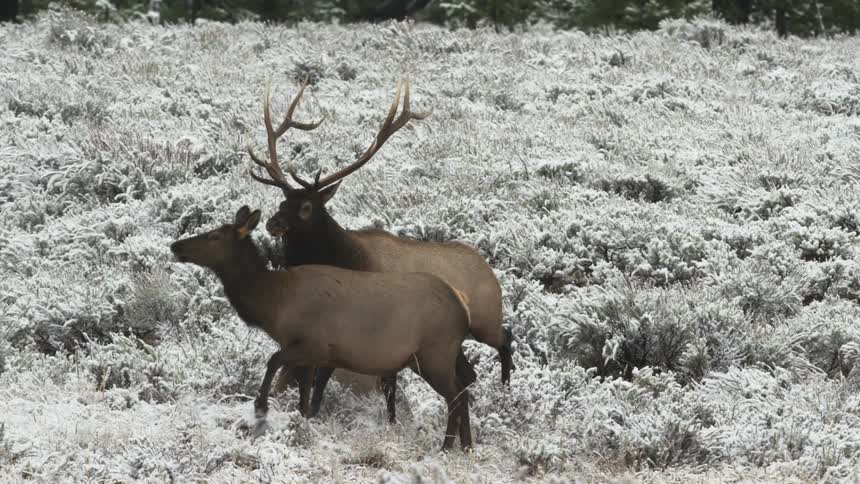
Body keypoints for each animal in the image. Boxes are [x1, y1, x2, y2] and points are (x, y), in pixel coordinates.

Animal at [170, 205, 476, 451]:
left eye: (213, 236)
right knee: (465, 389)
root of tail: (462, 305)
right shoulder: (314, 356)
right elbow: (305, 399)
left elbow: (273, 361)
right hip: (436, 356)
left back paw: (446, 447)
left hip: (433, 354)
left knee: (455, 396)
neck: (275, 305)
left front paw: (261, 408)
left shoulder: (311, 343)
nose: (176, 246)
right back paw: (467, 446)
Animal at [247, 78, 514, 423]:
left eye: (307, 206)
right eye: (282, 201)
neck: (346, 258)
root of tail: (489, 269)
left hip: (485, 319)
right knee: (469, 373)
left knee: (505, 339)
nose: (273, 223)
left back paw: (505, 392)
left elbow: (368, 380)